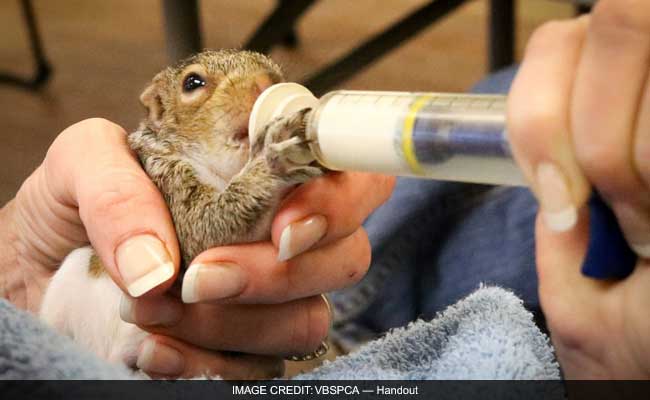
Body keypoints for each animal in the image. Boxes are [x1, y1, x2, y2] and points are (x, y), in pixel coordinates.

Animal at [37, 49, 324, 368]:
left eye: (278, 72)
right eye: (192, 83)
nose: (267, 81)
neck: (223, 172)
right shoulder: (165, 179)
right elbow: (202, 230)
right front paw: (273, 160)